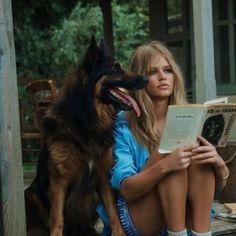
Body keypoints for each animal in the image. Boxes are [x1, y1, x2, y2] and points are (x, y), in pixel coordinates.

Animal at [25, 37, 148, 236]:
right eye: (115, 69)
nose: (146, 79)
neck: (87, 119)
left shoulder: (104, 175)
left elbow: (113, 212)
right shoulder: (59, 180)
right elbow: (57, 219)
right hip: (31, 194)